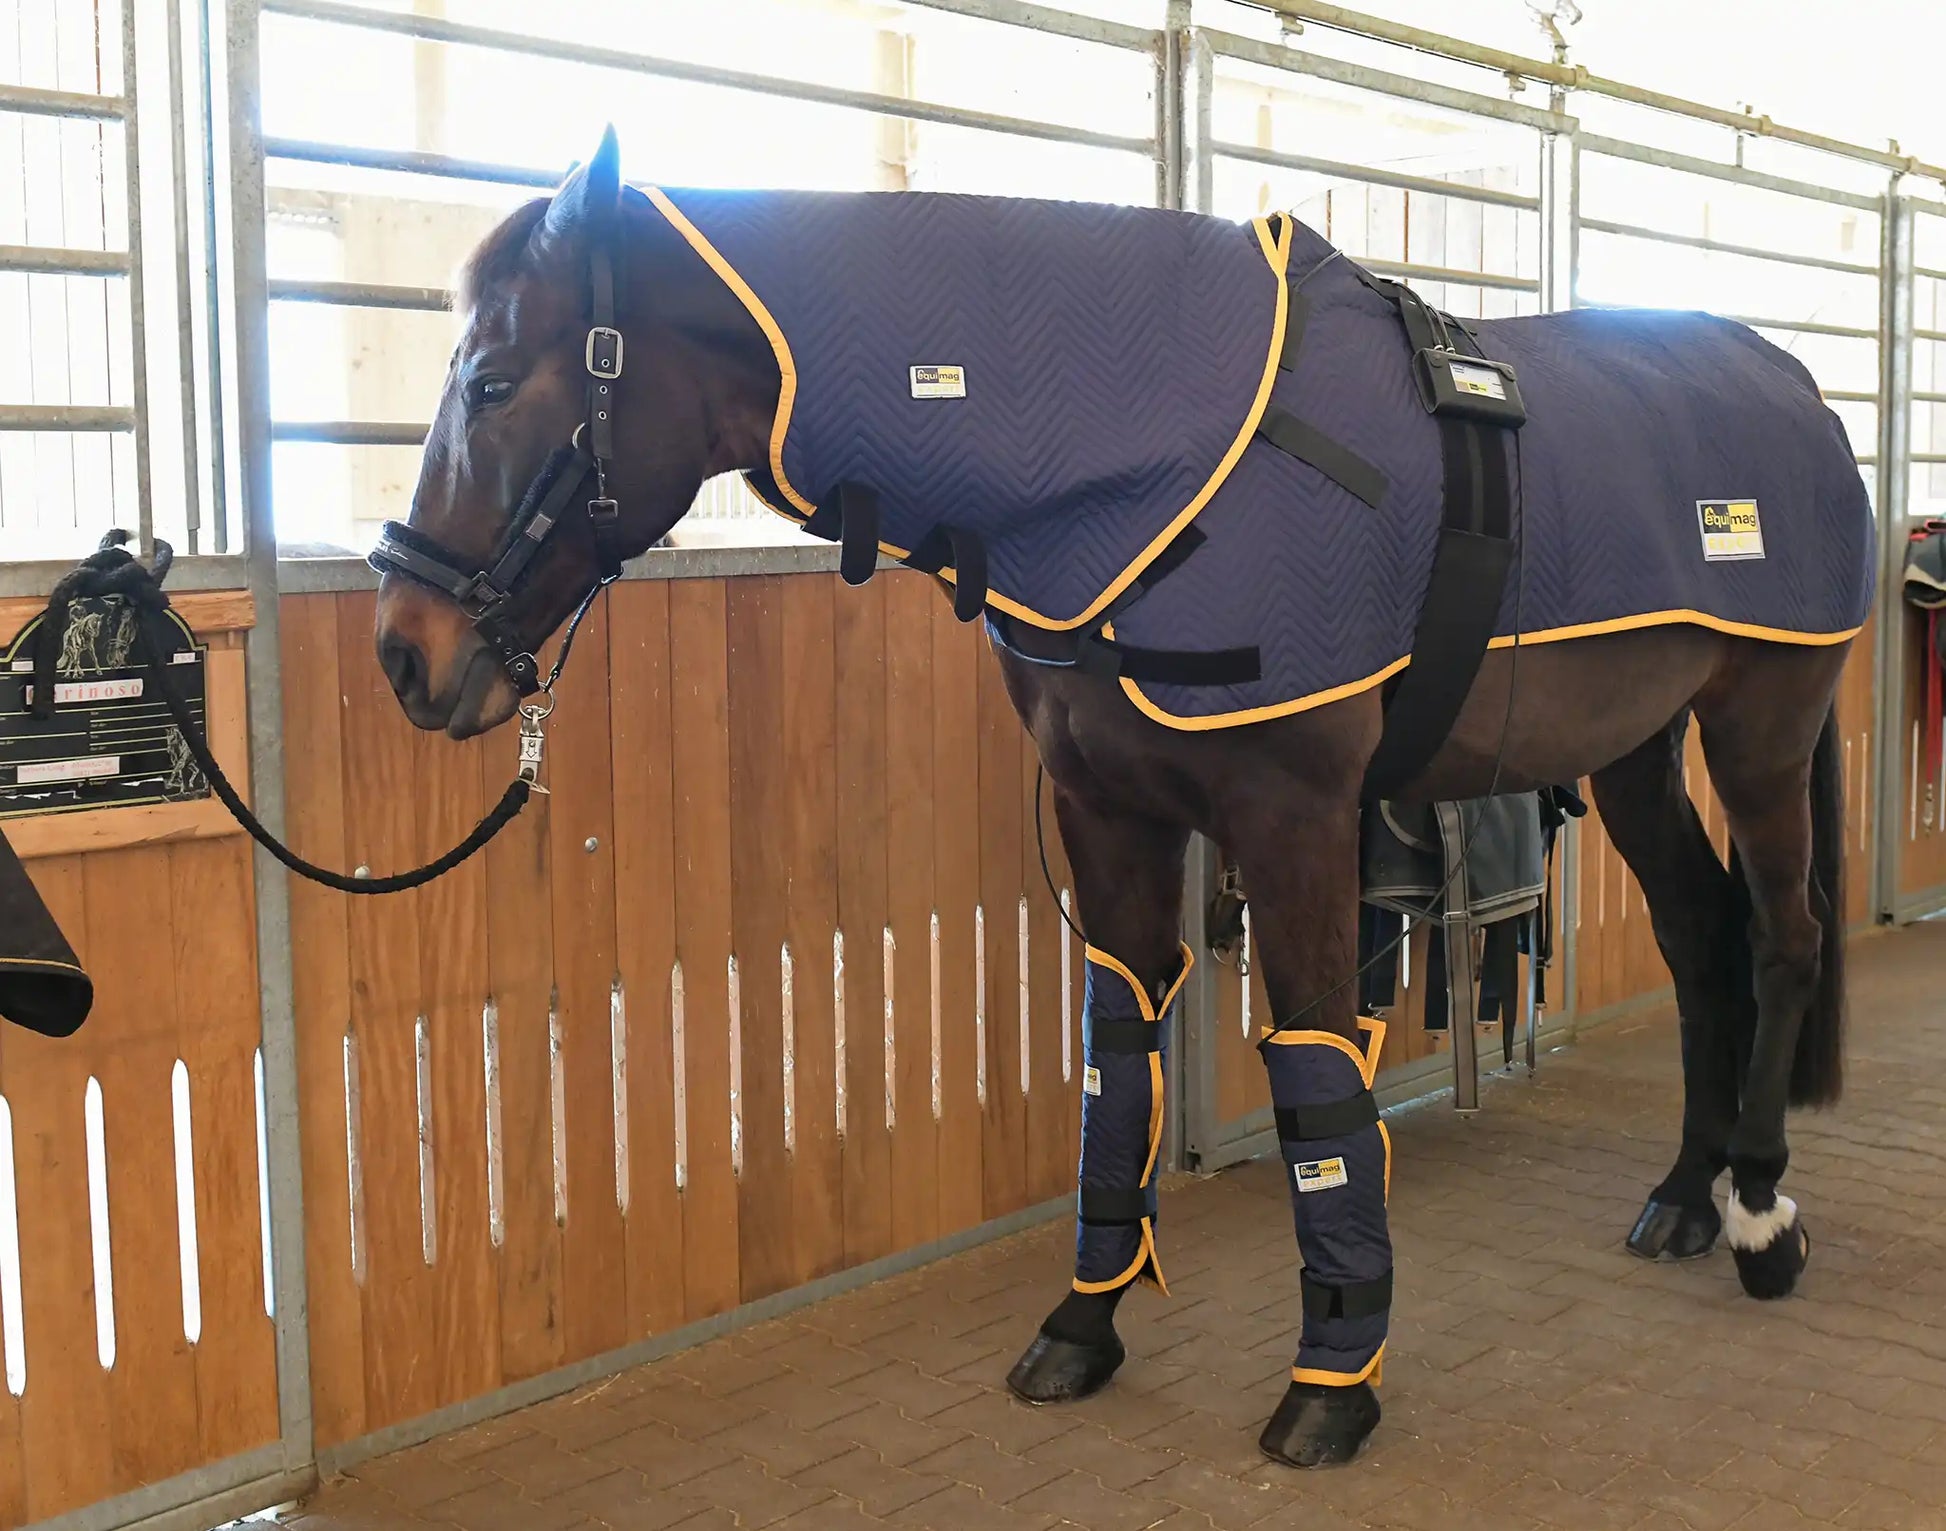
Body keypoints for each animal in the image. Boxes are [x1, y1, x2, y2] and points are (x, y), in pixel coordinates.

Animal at [370, 128, 1868, 1469]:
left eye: (492, 379)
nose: (404, 654)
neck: (1152, 464)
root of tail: (1791, 387)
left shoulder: (1296, 824)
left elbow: (1318, 1079)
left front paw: (1330, 1382)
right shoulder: (1110, 815)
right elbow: (1115, 1059)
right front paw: (1081, 1328)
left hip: (1758, 723)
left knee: (1783, 934)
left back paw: (1758, 1211)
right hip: (1634, 746)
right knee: (1700, 937)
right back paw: (1684, 1196)